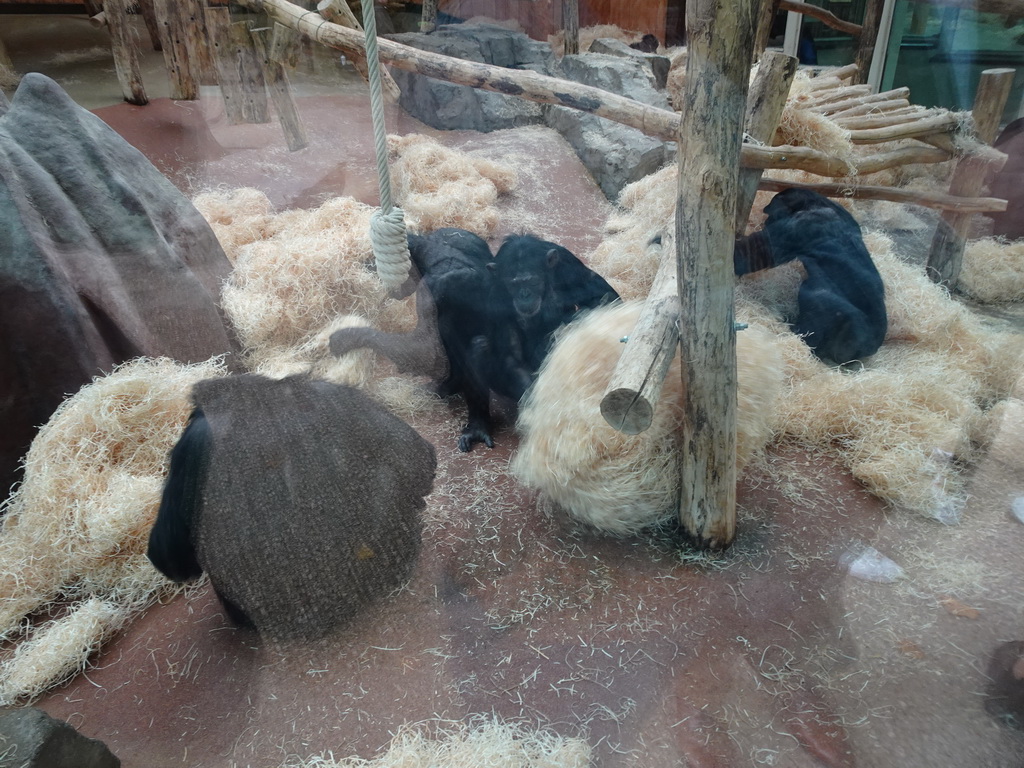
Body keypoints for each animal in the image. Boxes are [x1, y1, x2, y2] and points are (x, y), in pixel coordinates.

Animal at [491, 233, 618, 374]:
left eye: (533, 282)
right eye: (514, 285)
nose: (524, 295)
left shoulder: (567, 262)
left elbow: (603, 292)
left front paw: (551, 302)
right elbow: (513, 357)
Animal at [733, 188, 884, 364]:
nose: (767, 220)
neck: (814, 203)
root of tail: (869, 349)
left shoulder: (801, 225)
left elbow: (753, 252)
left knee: (817, 295)